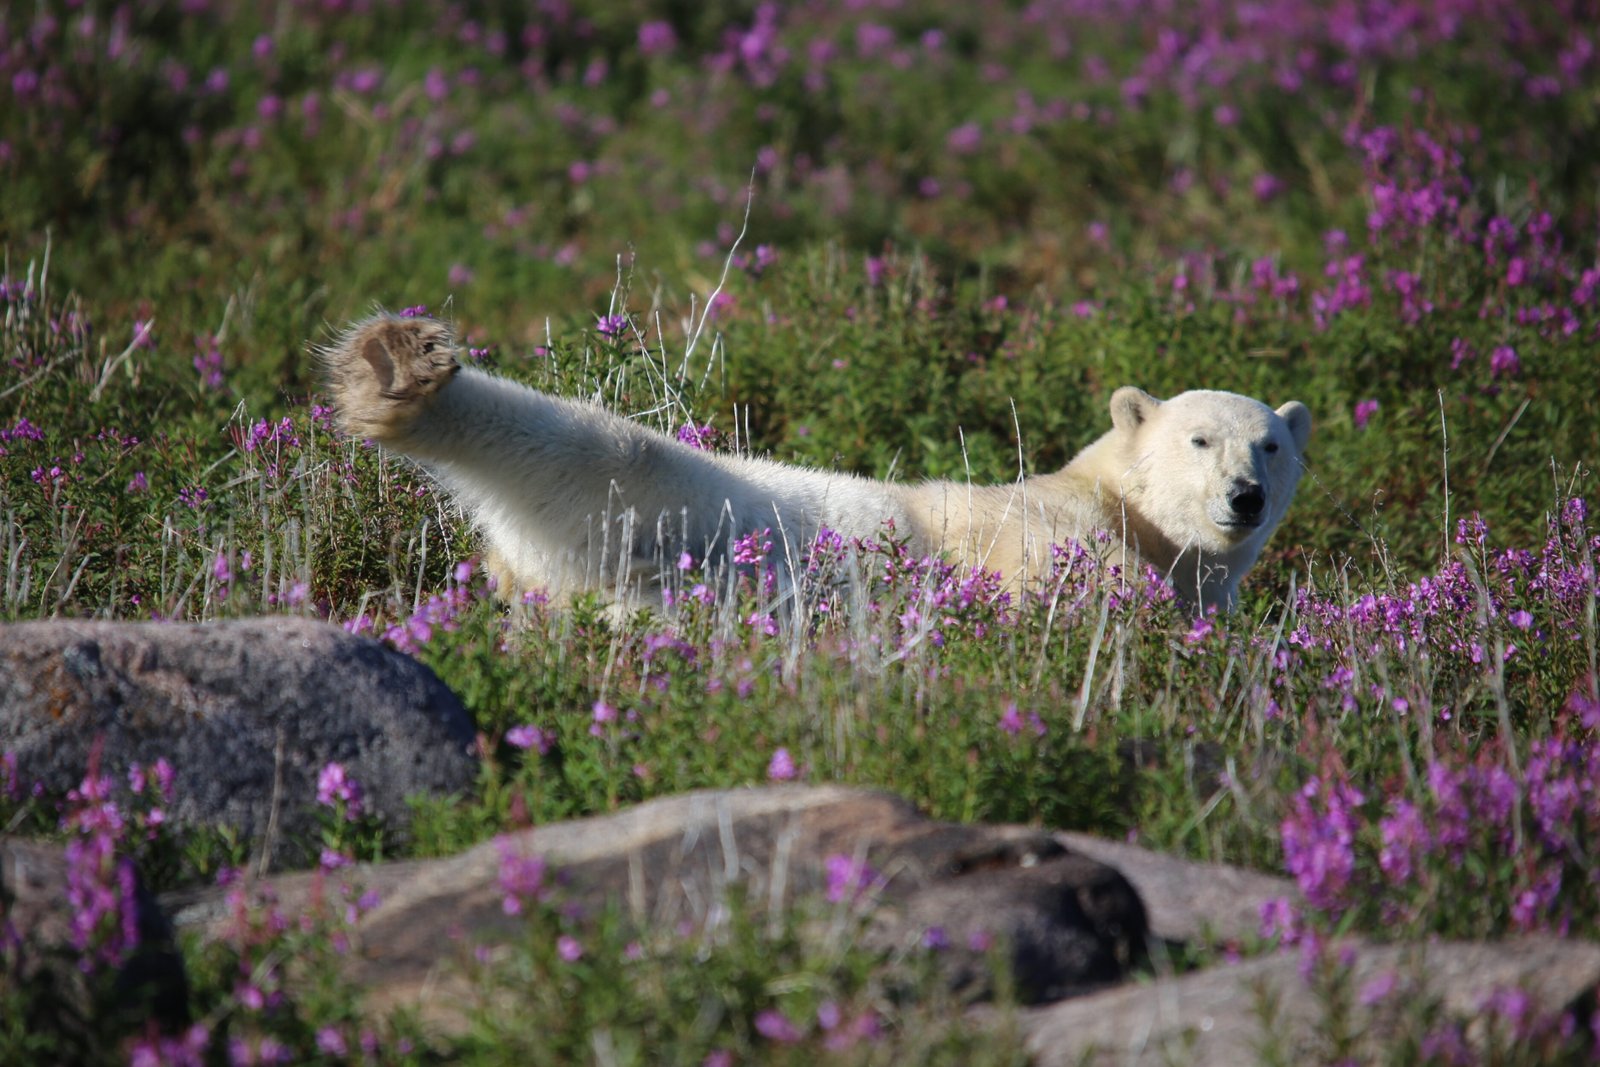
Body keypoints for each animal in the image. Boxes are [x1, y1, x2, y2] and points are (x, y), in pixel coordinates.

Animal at [321, 313, 1312, 614]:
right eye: (1200, 439)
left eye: (1270, 443)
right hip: (672, 489)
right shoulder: (1033, 521)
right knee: (599, 441)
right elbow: (1069, 573)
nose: (1245, 497)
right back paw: (398, 370)